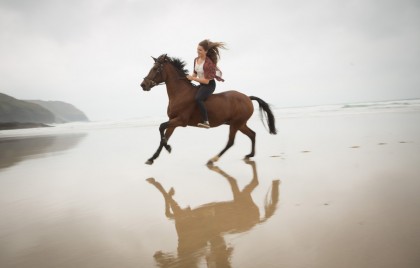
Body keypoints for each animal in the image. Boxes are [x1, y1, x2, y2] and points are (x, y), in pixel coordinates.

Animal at [141, 53, 278, 164]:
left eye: (155, 69)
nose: (143, 85)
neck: (181, 93)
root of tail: (248, 98)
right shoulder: (173, 121)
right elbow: (164, 136)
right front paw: (152, 158)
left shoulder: (181, 120)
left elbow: (161, 127)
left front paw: (168, 148)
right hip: (240, 123)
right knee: (252, 134)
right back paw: (249, 155)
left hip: (235, 123)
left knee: (231, 142)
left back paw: (213, 159)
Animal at [146, 160, 280, 266]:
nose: (156, 256)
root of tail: (257, 221)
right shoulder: (180, 215)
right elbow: (168, 209)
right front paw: (170, 191)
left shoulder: (180, 214)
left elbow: (165, 197)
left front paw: (156, 183)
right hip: (241, 197)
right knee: (249, 183)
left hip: (241, 197)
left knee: (247, 182)